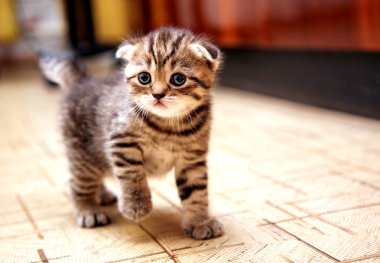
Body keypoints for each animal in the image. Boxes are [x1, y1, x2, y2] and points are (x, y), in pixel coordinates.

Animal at [37, 27, 224, 240]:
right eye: (144, 77)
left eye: (178, 79)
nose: (157, 94)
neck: (168, 125)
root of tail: (83, 82)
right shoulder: (121, 140)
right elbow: (132, 174)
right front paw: (136, 206)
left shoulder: (192, 159)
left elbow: (196, 192)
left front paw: (200, 221)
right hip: (84, 155)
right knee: (77, 183)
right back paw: (88, 210)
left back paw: (101, 194)